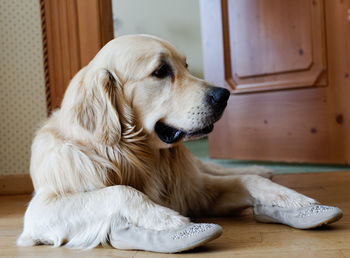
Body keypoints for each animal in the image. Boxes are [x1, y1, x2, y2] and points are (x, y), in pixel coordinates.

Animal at [17, 34, 322, 250]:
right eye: (161, 71)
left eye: (185, 66)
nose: (224, 95)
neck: (134, 156)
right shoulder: (41, 210)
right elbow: (120, 191)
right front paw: (167, 218)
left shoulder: (196, 191)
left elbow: (248, 180)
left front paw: (292, 198)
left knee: (224, 168)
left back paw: (265, 169)